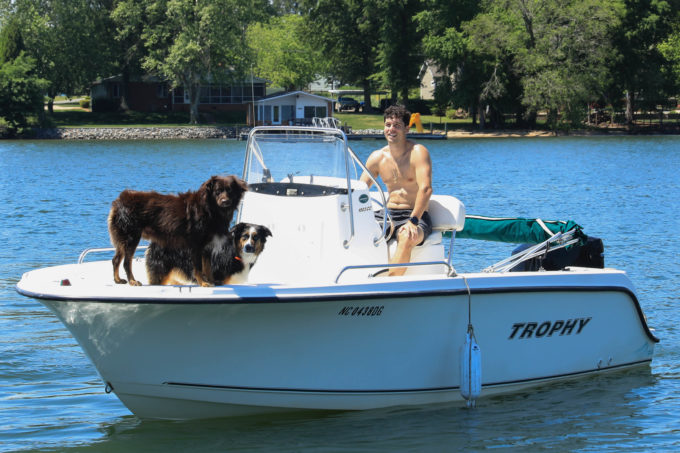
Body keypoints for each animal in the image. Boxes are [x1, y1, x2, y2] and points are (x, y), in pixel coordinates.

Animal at [110, 175, 248, 284]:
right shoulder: (197, 244)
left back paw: (117, 280)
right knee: (126, 262)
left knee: (116, 259)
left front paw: (211, 281)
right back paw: (132, 281)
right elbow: (198, 267)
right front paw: (203, 283)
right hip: (131, 237)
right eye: (217, 192)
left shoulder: (207, 245)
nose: (225, 201)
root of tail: (120, 199)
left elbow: (207, 267)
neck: (210, 208)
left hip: (123, 239)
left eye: (230, 191)